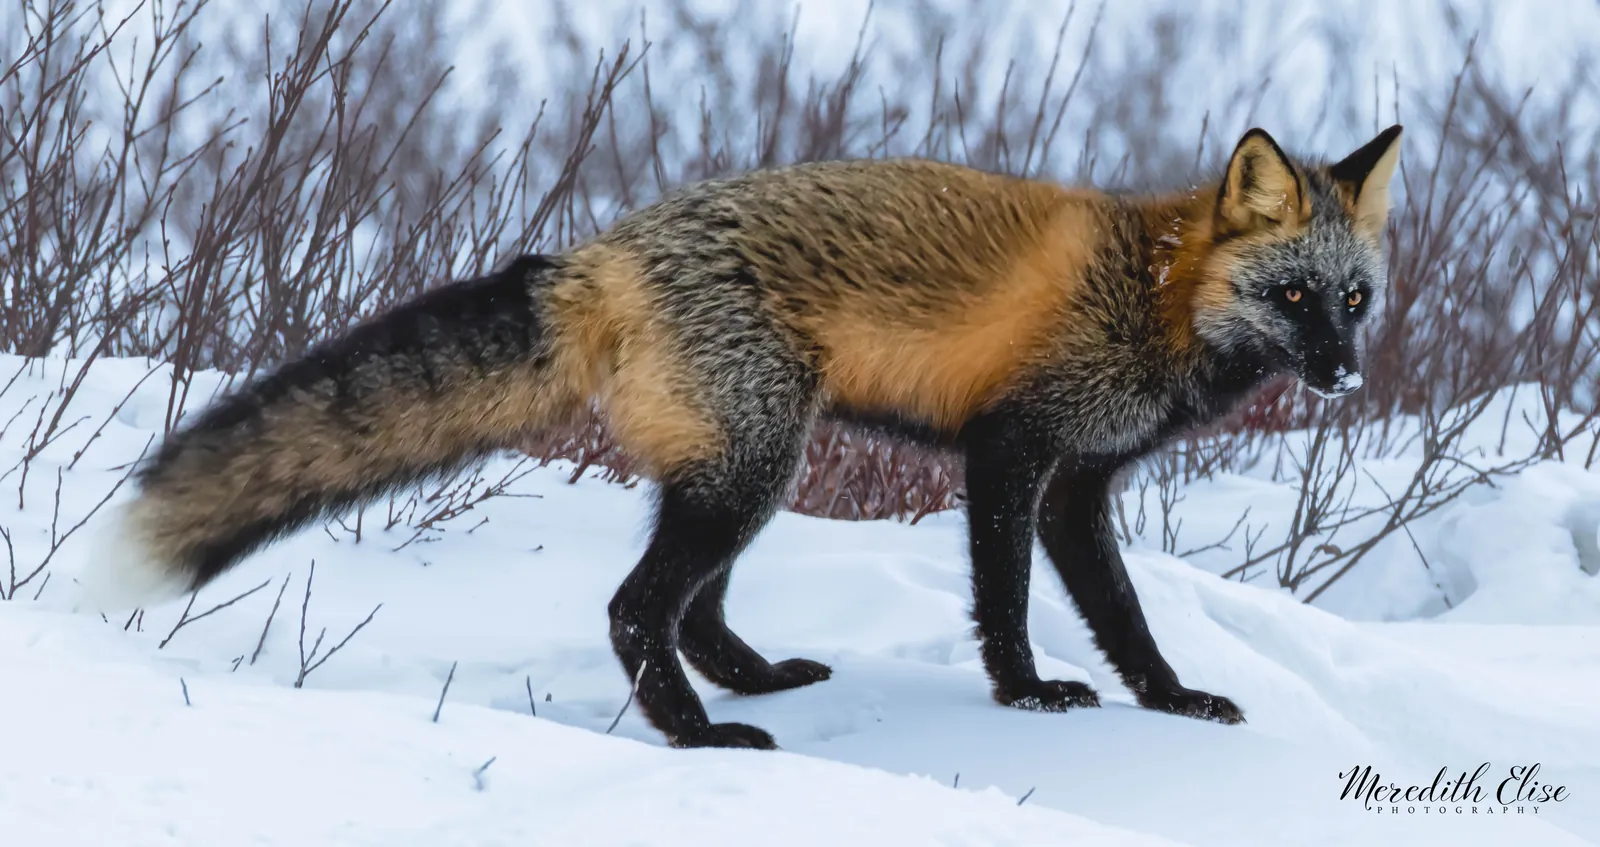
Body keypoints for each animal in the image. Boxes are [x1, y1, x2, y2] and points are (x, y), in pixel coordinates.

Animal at [78, 124, 1403, 749]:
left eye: (1351, 298)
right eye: (1290, 294)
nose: (1342, 375)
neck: (1161, 290)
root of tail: (604, 250)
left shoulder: (1082, 484)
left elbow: (1125, 619)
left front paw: (1173, 703)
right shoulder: (1012, 450)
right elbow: (1011, 604)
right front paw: (1026, 698)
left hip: (753, 463)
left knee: (695, 608)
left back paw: (752, 683)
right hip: (756, 464)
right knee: (635, 608)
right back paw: (703, 738)